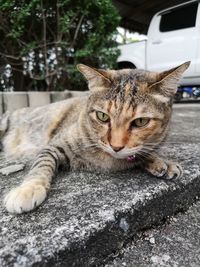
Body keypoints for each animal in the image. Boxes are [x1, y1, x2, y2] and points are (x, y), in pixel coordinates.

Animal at [2, 61, 189, 215]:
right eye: (102, 116)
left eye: (141, 121)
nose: (116, 146)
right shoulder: (54, 146)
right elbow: (41, 164)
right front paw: (28, 189)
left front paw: (160, 161)